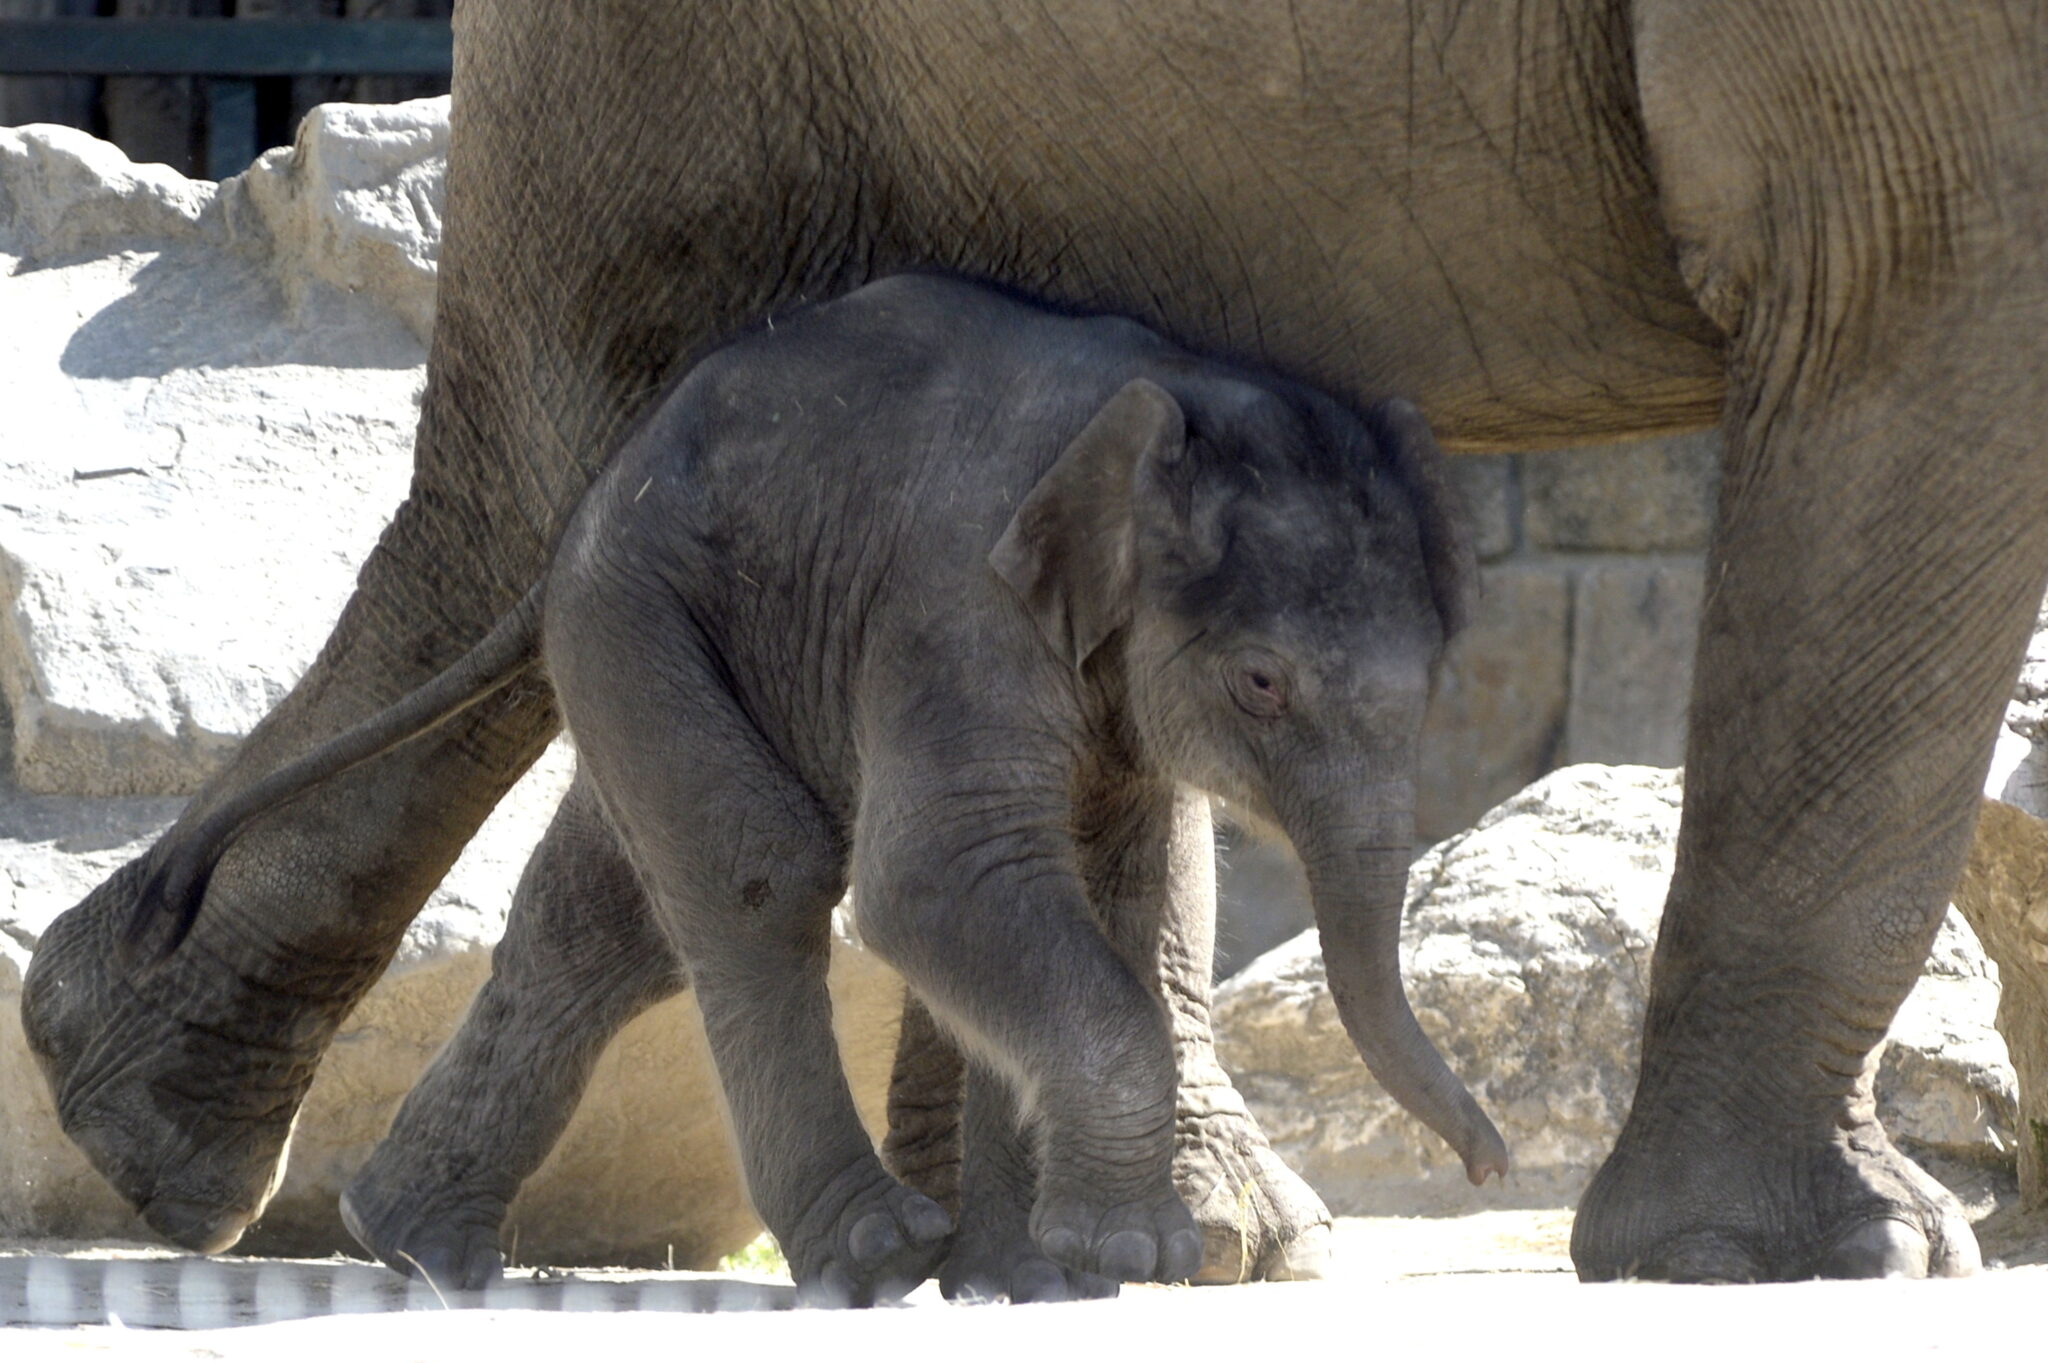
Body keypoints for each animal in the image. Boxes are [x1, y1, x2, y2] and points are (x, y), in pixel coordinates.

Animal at [123, 270, 1507, 1301]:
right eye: (1262, 683)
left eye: (1441, 668)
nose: (1488, 1166)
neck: (1170, 400)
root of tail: (595, 489)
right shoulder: (955, 610)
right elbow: (940, 883)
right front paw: (1125, 1255)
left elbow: (1099, 893)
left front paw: (1046, 1278)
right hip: (637, 606)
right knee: (757, 868)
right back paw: (871, 1254)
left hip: (650, 626)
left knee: (609, 917)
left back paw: (415, 1242)